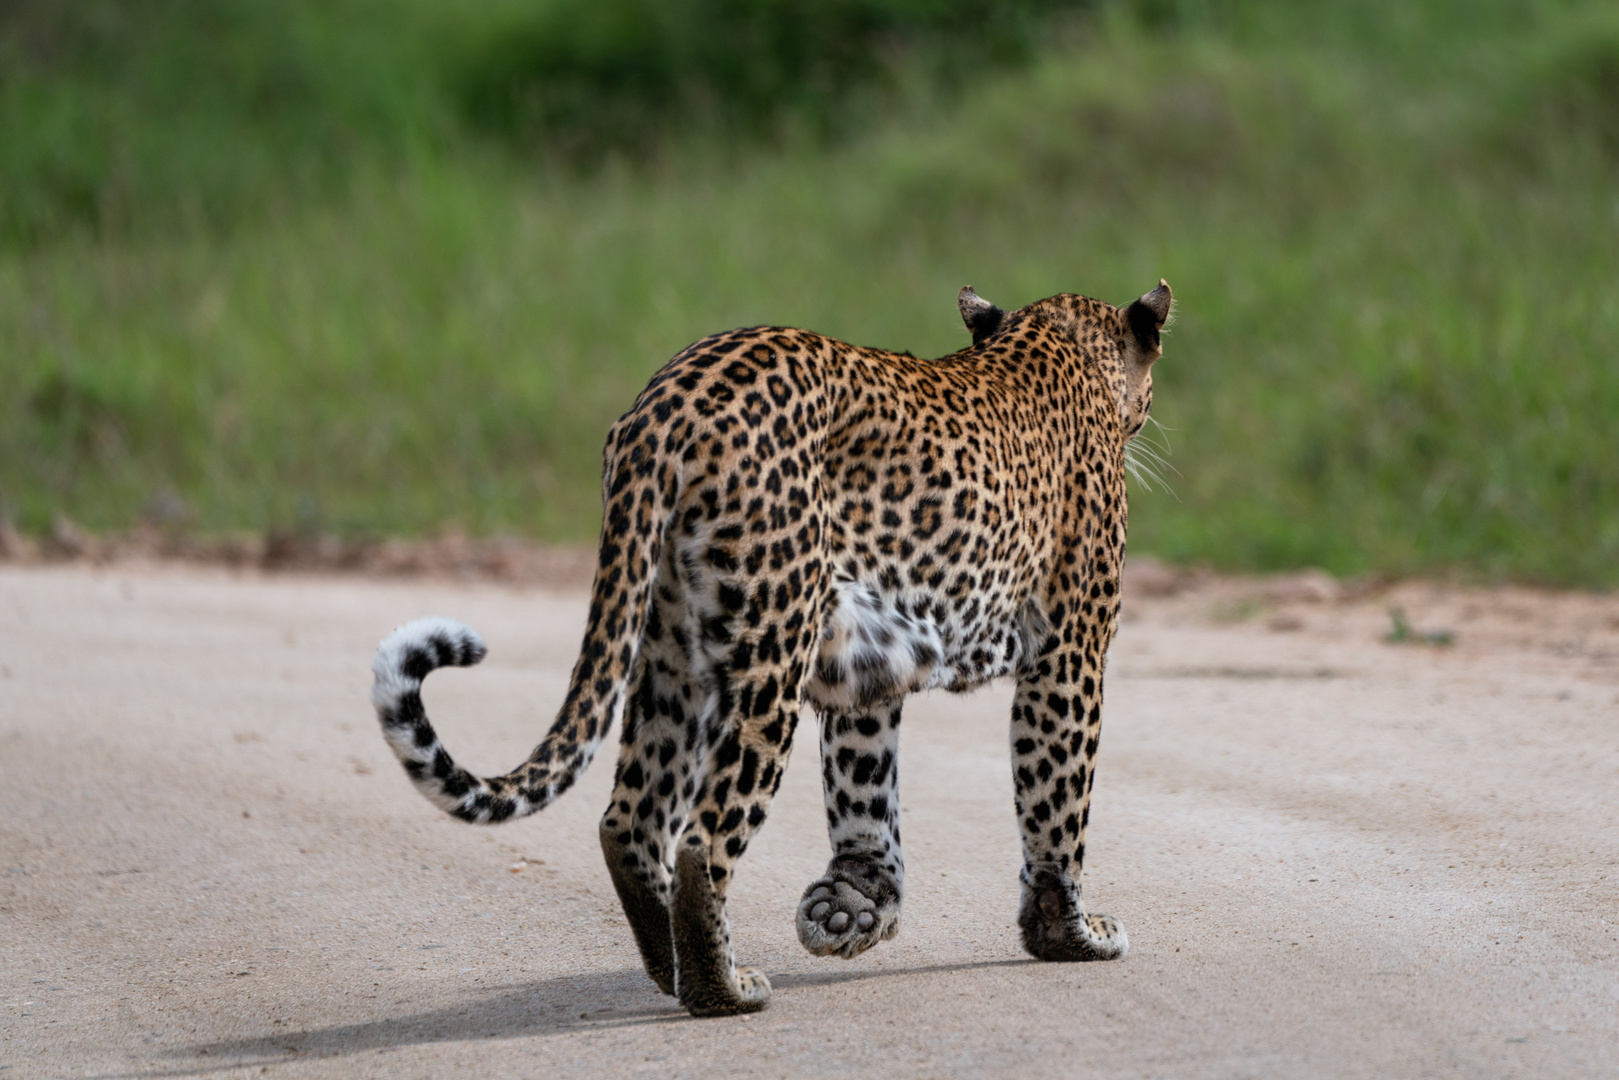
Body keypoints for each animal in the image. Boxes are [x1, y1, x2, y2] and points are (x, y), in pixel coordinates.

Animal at [370, 276, 1172, 1016]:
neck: (1058, 341)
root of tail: (664, 405)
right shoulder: (1071, 650)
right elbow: (1057, 796)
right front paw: (1069, 936)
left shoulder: (867, 660)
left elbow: (863, 783)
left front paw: (854, 906)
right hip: (769, 656)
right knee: (702, 839)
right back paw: (724, 988)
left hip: (670, 651)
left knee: (631, 820)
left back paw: (671, 970)